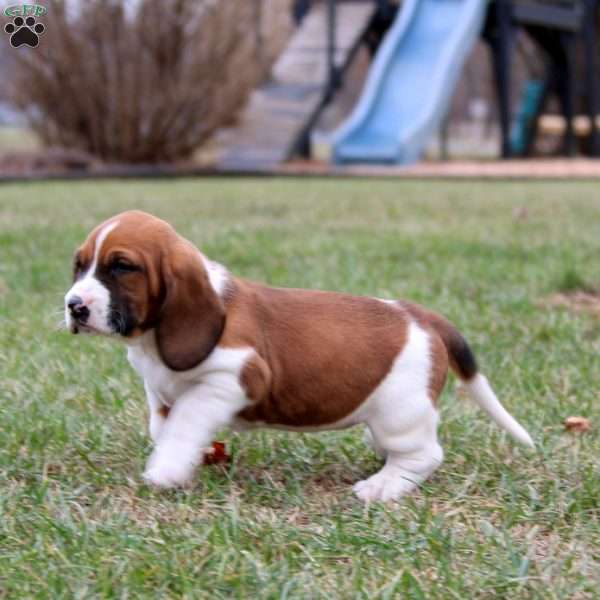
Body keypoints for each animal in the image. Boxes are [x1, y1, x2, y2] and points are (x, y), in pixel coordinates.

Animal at [64, 211, 536, 502]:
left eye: (122, 266)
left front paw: (166, 470)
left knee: (424, 456)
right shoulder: (158, 392)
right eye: (79, 265)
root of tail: (419, 314)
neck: (151, 338)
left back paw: (382, 487)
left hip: (400, 416)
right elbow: (164, 425)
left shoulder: (231, 379)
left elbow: (184, 425)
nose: (74, 306)